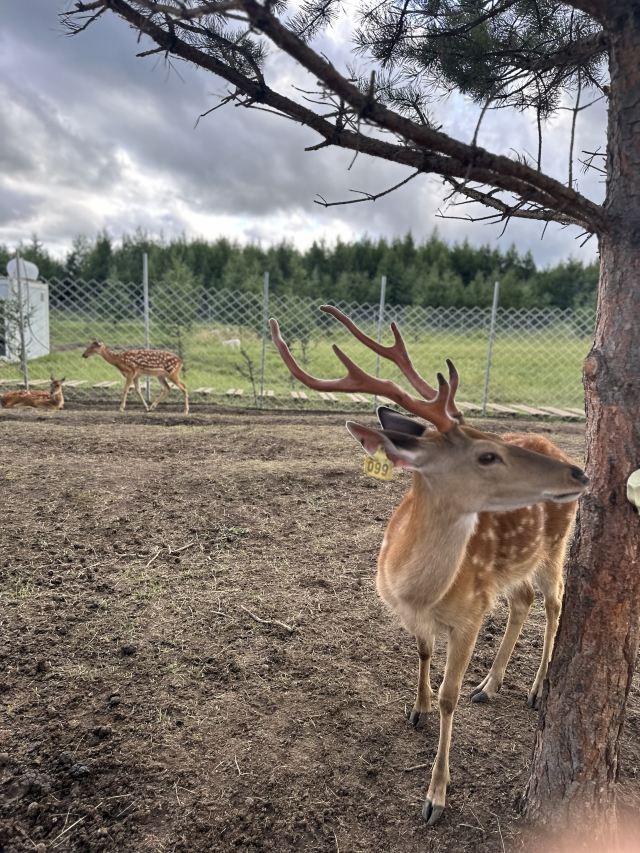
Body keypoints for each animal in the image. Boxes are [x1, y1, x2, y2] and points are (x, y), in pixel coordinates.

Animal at [270, 305, 589, 825]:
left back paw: (537, 689)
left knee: (555, 600)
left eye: (494, 439)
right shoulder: (411, 612)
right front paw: (414, 709)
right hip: (515, 567)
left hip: (555, 547)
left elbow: (448, 696)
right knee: (523, 600)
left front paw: (435, 796)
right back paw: (490, 685)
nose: (579, 473)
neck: (418, 591)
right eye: (487, 454)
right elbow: (422, 653)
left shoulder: (471, 613)